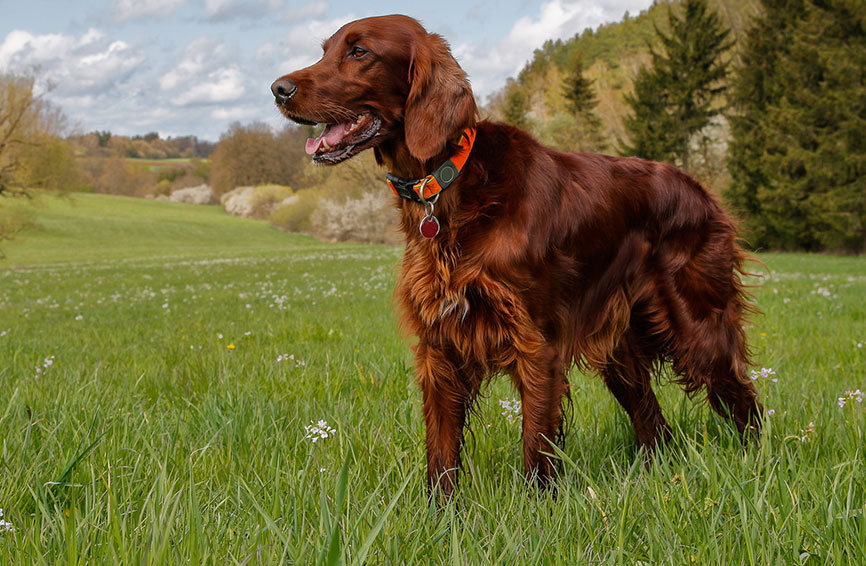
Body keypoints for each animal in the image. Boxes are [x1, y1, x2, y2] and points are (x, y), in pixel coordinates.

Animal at [268, 15, 756, 500]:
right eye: (326, 50)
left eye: (359, 52)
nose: (278, 88)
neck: (449, 184)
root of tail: (702, 190)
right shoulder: (438, 345)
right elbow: (441, 452)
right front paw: (439, 513)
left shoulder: (535, 341)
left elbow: (535, 443)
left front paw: (538, 509)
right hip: (618, 347)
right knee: (654, 420)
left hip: (696, 324)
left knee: (742, 396)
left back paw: (753, 465)